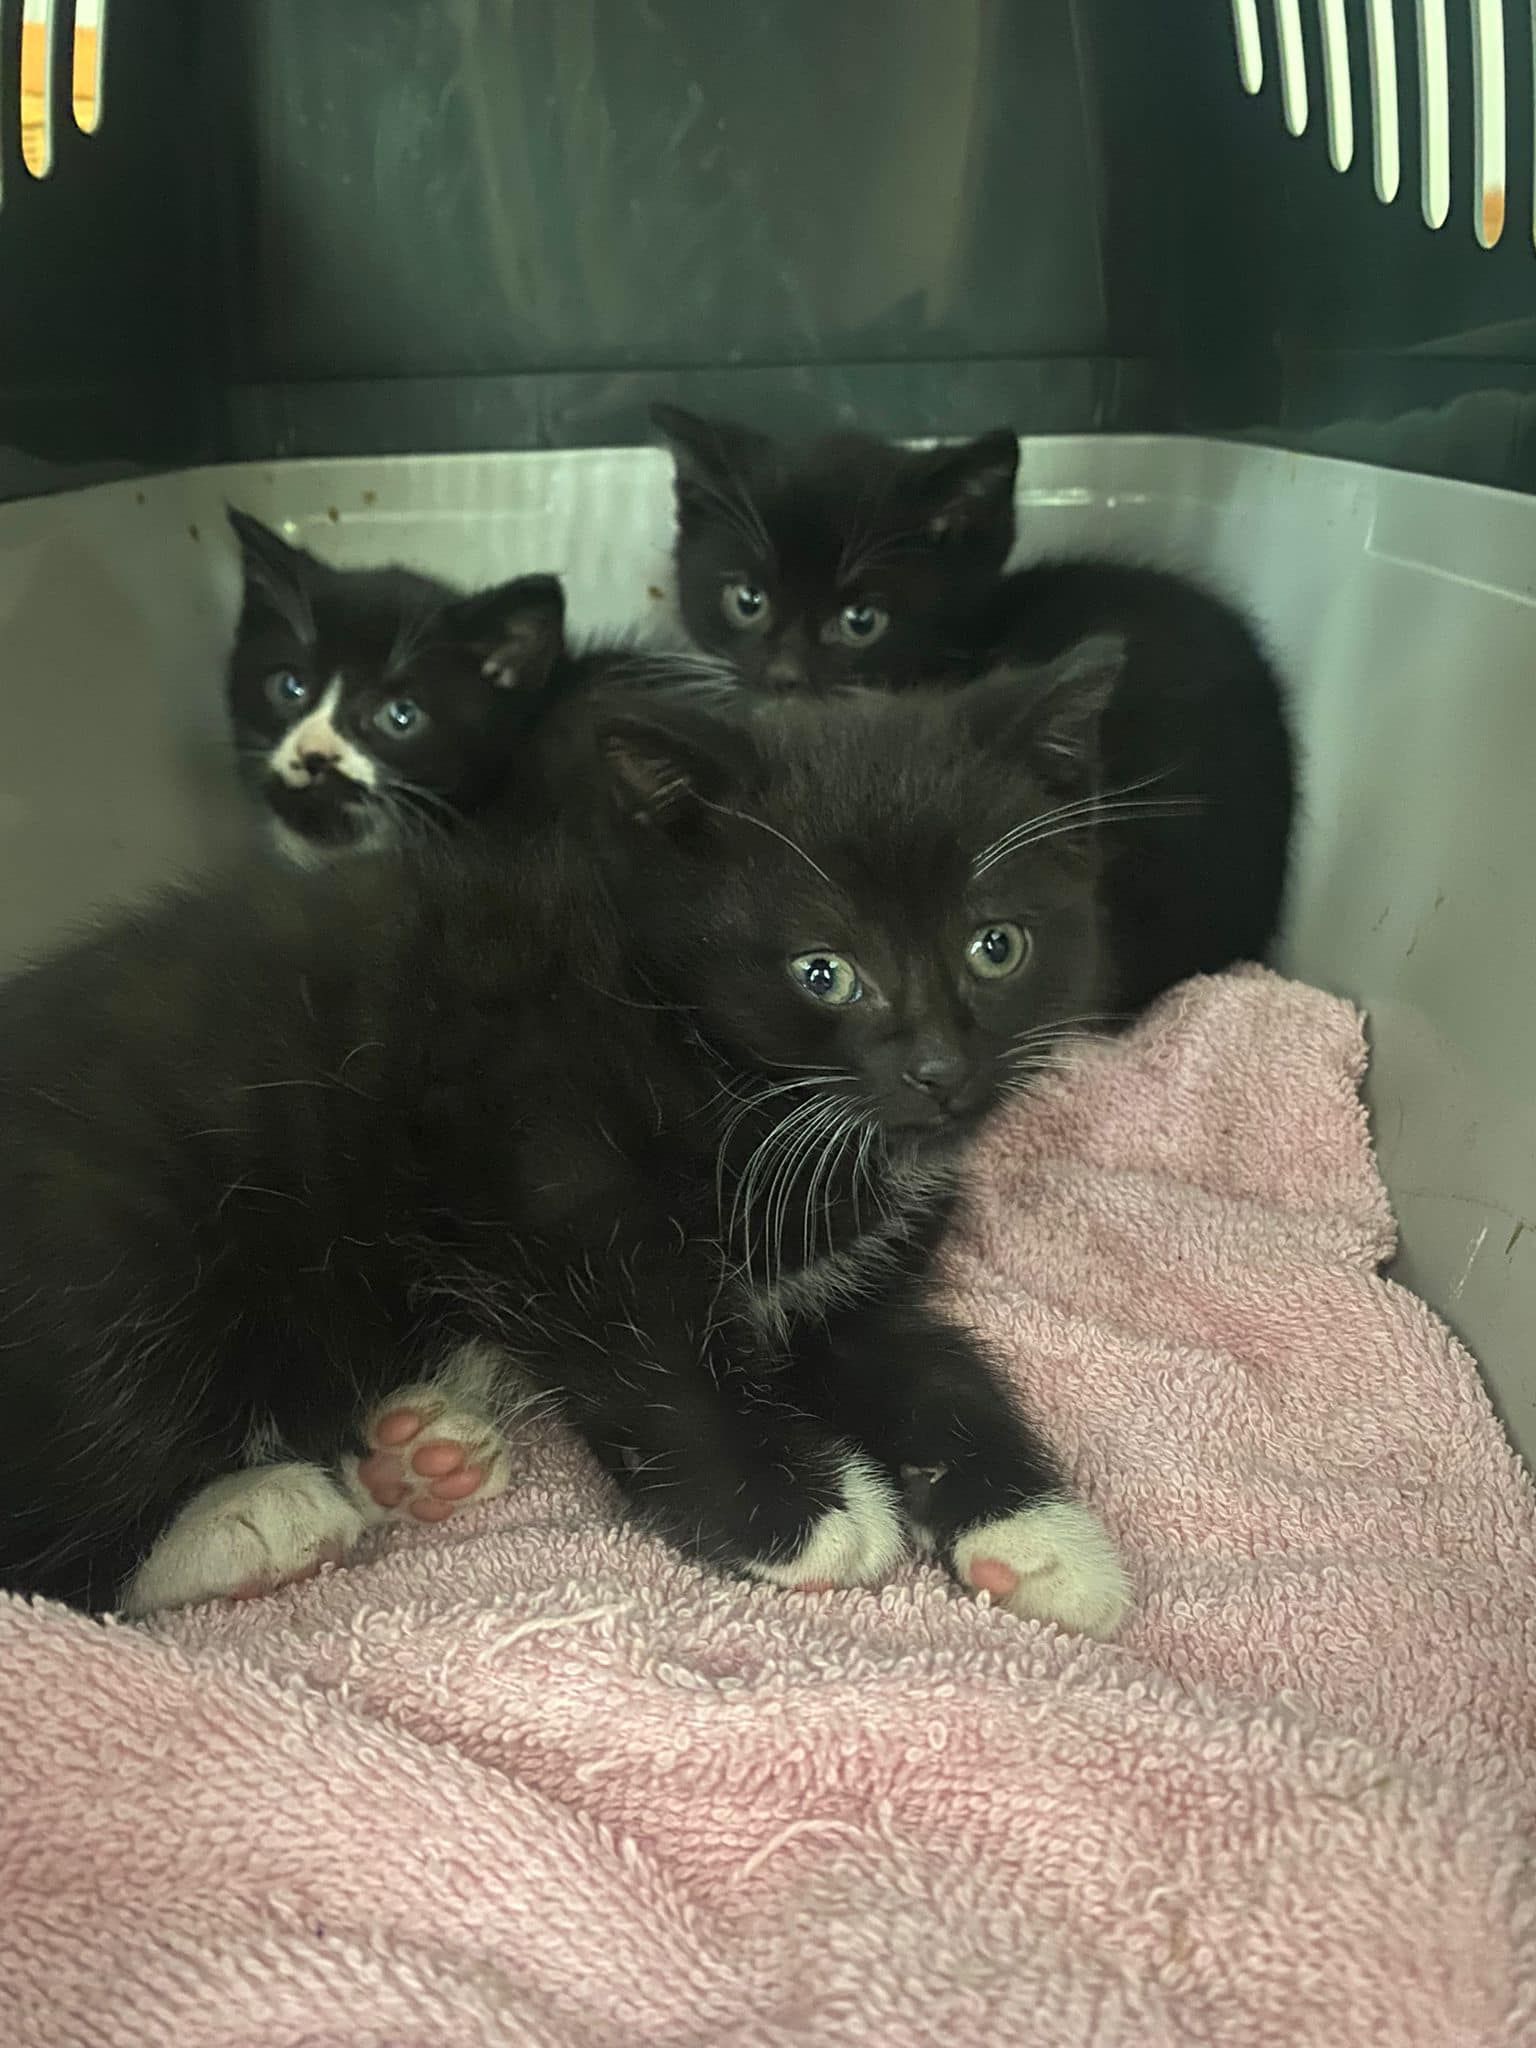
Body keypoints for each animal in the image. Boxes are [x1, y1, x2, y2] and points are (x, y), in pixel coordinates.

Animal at [0, 631, 1131, 1636]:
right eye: (825, 970)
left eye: (997, 945)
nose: (940, 1069)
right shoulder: (538, 1162)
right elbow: (651, 1347)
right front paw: (797, 1509)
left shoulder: (840, 1286)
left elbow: (930, 1366)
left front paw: (1039, 1534)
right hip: (118, 1260)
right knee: (50, 1564)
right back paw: (251, 1516)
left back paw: (418, 1448)